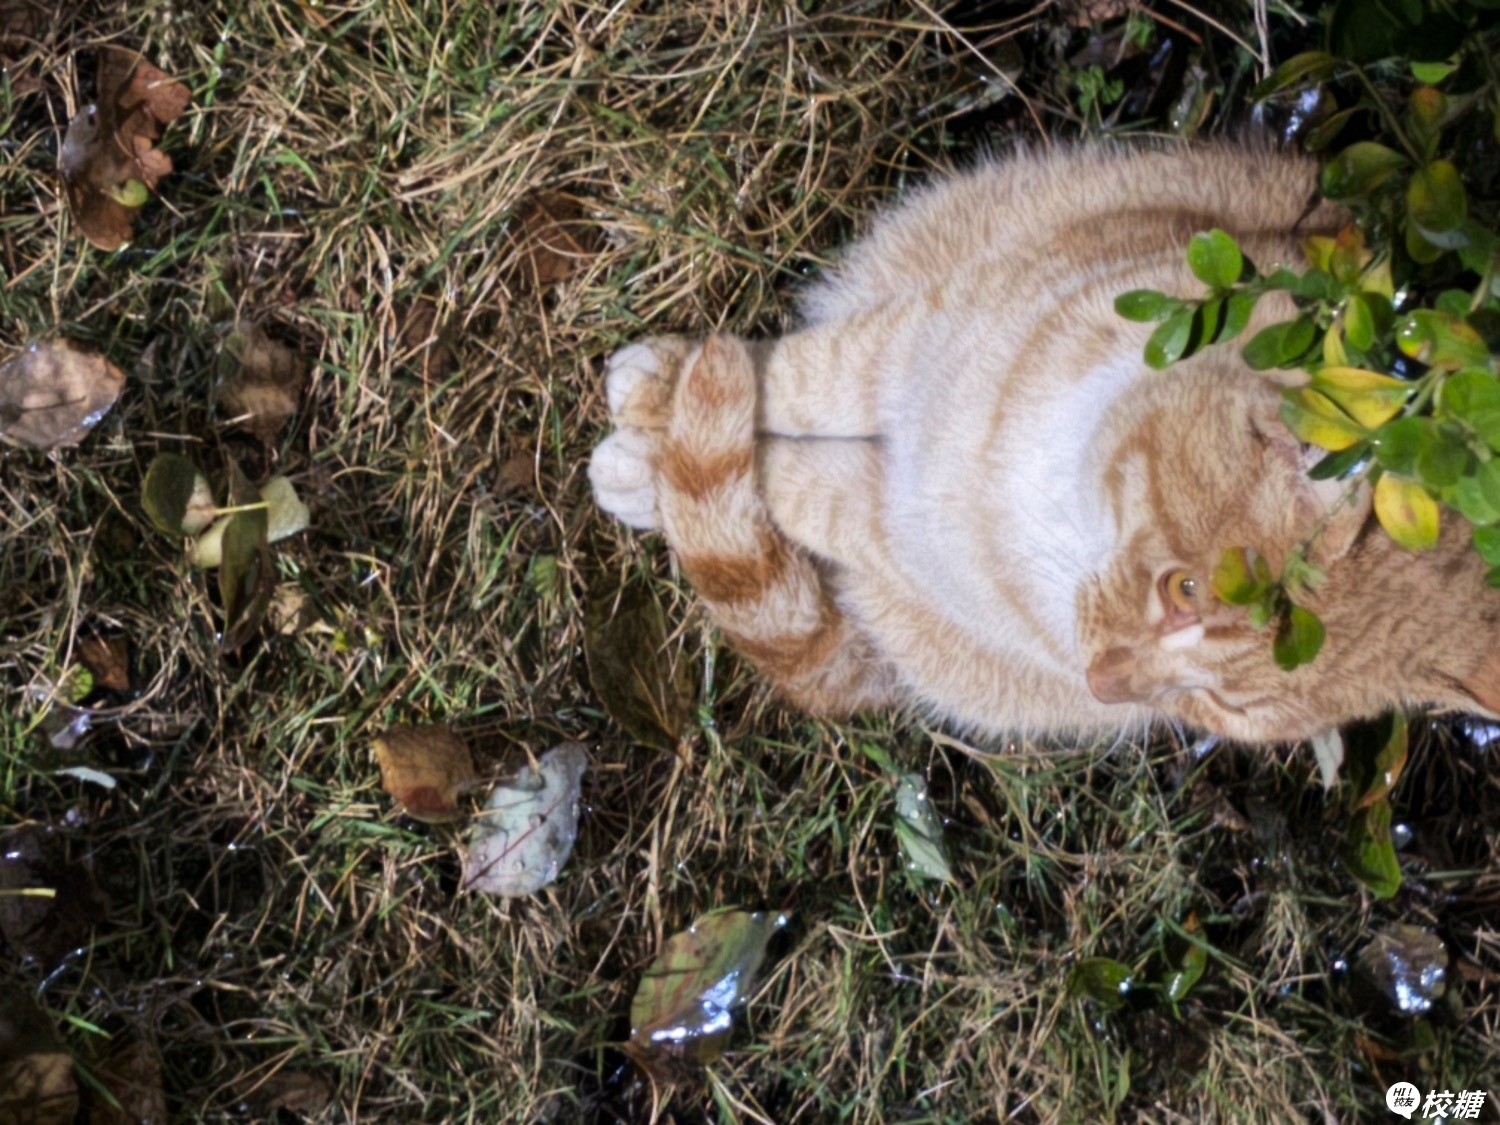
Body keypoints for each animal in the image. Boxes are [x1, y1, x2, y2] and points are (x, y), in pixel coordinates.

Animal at [588, 144, 1500, 745]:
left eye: (1219, 708)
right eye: (1184, 588)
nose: (1104, 685)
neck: (1050, 486)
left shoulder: (903, 526)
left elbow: (796, 486)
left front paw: (663, 462)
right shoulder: (911, 340)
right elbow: (796, 377)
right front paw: (664, 407)